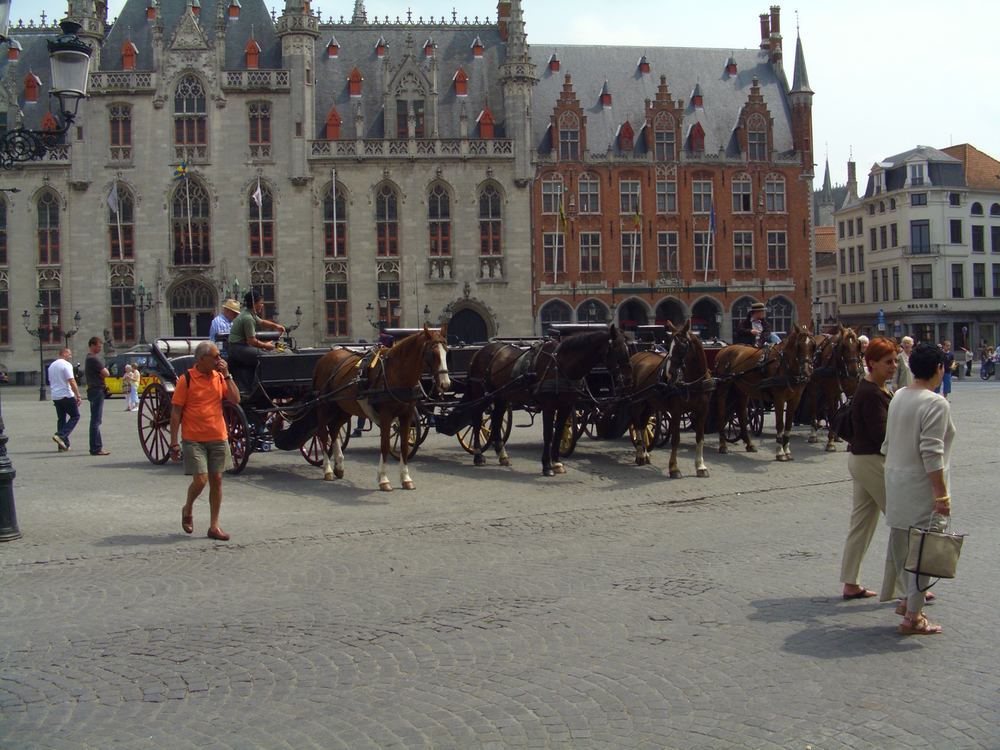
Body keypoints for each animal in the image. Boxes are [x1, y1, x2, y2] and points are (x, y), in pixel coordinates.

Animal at [312, 324, 450, 494]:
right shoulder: (386, 416)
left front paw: (406, 478)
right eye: (432, 352)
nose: (445, 384)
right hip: (324, 406)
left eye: (447, 351)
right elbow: (384, 446)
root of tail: (324, 358)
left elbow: (404, 446)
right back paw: (328, 469)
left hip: (343, 408)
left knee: (334, 430)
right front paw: (383, 479)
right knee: (323, 434)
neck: (396, 373)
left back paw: (339, 465)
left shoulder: (407, 415)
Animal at [464, 326, 628, 478]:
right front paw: (547, 466)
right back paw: (478, 455)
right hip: (481, 394)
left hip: (501, 396)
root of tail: (480, 351)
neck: (561, 365)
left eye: (628, 349)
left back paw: (503, 456)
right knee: (477, 421)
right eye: (617, 350)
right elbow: (548, 434)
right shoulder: (549, 407)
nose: (625, 380)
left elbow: (559, 431)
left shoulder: (565, 406)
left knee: (497, 420)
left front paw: (557, 463)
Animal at [628, 320, 716, 478]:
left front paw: (700, 466)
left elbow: (700, 437)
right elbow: (675, 439)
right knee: (637, 424)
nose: (668, 373)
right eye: (669, 346)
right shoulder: (676, 410)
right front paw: (674, 468)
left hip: (649, 403)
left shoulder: (703, 410)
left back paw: (645, 454)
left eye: (682, 347)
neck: (693, 380)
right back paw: (640, 455)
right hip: (636, 402)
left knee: (644, 424)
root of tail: (637, 355)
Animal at [712, 322, 812, 462]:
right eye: (798, 345)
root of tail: (724, 349)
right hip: (724, 387)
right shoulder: (779, 398)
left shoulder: (795, 399)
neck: (784, 365)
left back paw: (749, 443)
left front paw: (787, 450)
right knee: (722, 412)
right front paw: (780, 452)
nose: (807, 371)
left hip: (741, 388)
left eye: (813, 345)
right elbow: (780, 424)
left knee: (741, 412)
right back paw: (723, 445)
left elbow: (788, 425)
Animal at [800, 324, 864, 452]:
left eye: (858, 345)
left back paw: (836, 436)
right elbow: (831, 413)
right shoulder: (830, 391)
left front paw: (850, 442)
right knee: (814, 406)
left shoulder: (851, 390)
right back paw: (813, 434)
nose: (854, 372)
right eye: (844, 346)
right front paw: (830, 442)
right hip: (814, 387)